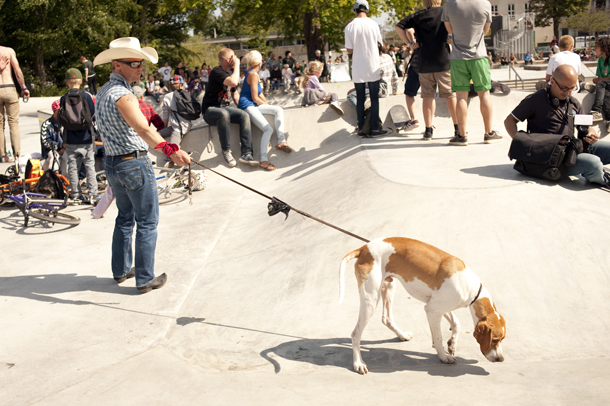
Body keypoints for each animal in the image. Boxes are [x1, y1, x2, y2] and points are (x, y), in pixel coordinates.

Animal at [338, 238, 504, 374]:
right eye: (495, 340)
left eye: (502, 339)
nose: (501, 359)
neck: (472, 288)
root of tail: (364, 248)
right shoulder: (432, 310)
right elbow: (438, 337)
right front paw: (444, 357)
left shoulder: (438, 306)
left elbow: (456, 324)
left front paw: (452, 344)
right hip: (371, 298)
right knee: (356, 334)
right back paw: (358, 364)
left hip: (388, 287)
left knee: (387, 319)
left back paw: (402, 335)